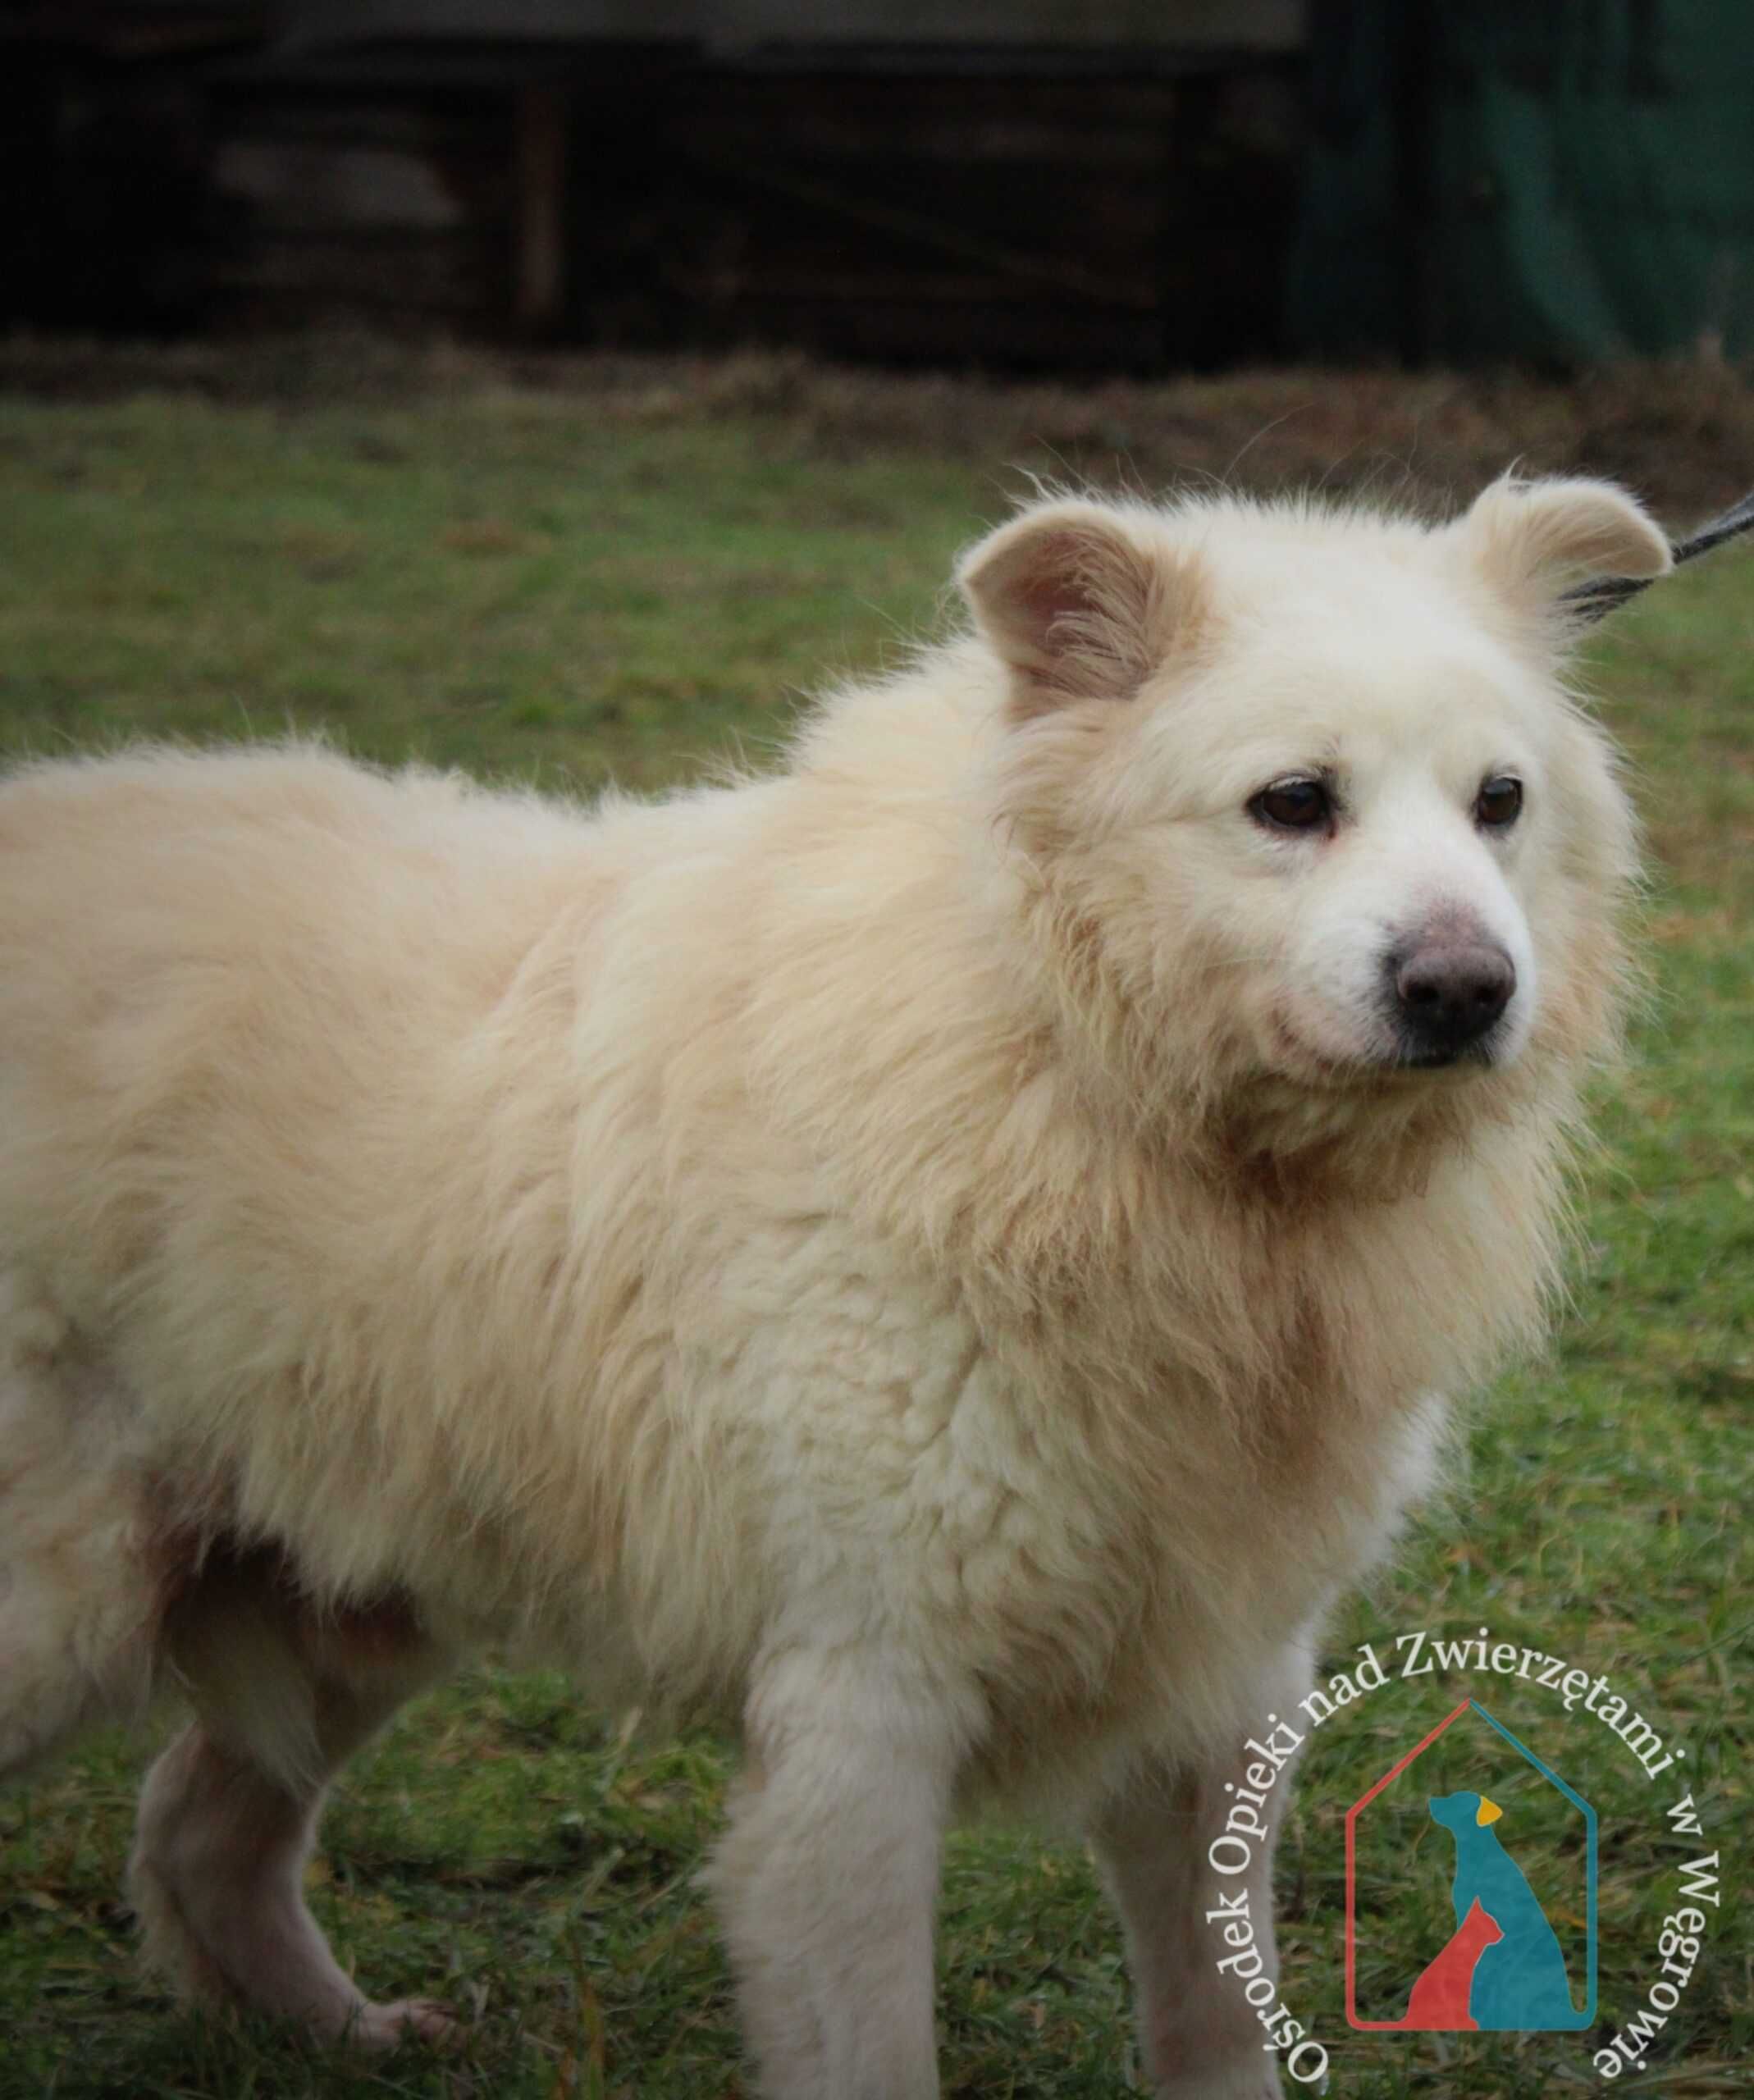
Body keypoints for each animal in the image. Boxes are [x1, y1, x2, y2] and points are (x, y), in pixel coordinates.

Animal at [0, 477, 1663, 2100]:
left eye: (1498, 803)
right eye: (1293, 803)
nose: (1464, 992)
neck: (1068, 1071)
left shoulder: (1218, 1695)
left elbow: (1217, 2027)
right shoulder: (859, 1719)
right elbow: (873, 2049)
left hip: (353, 1580)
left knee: (197, 1835)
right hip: (78, 1610)